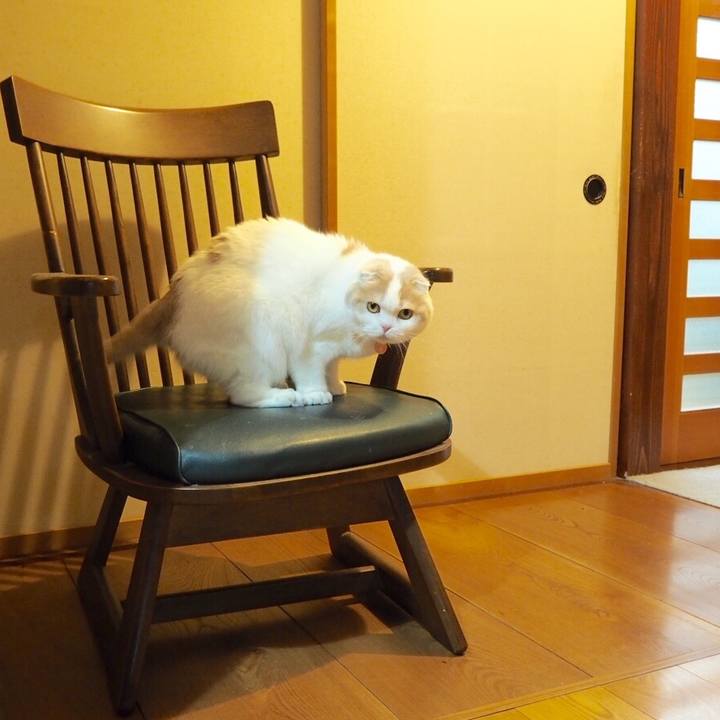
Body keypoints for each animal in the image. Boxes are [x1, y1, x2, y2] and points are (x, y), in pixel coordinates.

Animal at [106, 217, 433, 408]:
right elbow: (311, 371)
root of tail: (176, 288)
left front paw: (334, 385)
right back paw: (287, 396)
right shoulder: (310, 344)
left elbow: (331, 367)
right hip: (262, 345)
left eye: (405, 314)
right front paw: (317, 393)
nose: (386, 329)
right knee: (244, 396)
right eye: (373, 307)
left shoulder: (331, 350)